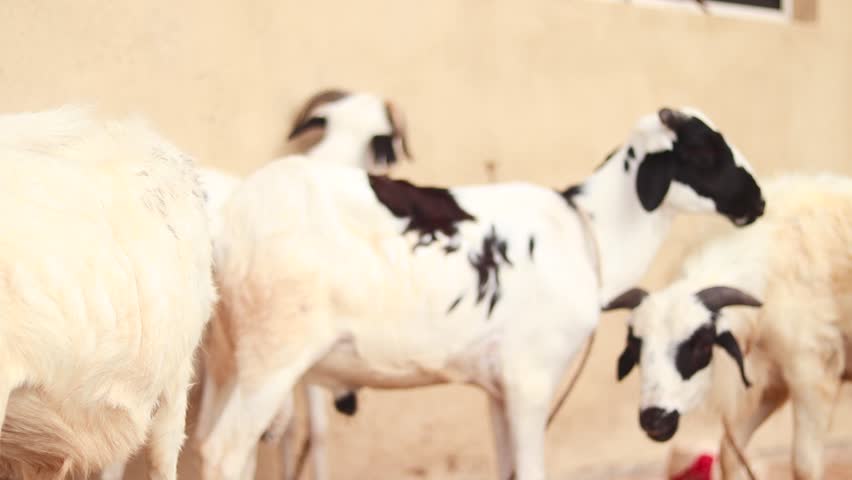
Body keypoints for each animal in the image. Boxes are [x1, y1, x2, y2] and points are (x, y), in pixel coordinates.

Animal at [603, 173, 852, 480]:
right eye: (635, 346)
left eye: (701, 345)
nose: (654, 420)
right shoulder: (772, 381)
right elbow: (729, 453)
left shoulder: (812, 374)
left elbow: (804, 465)